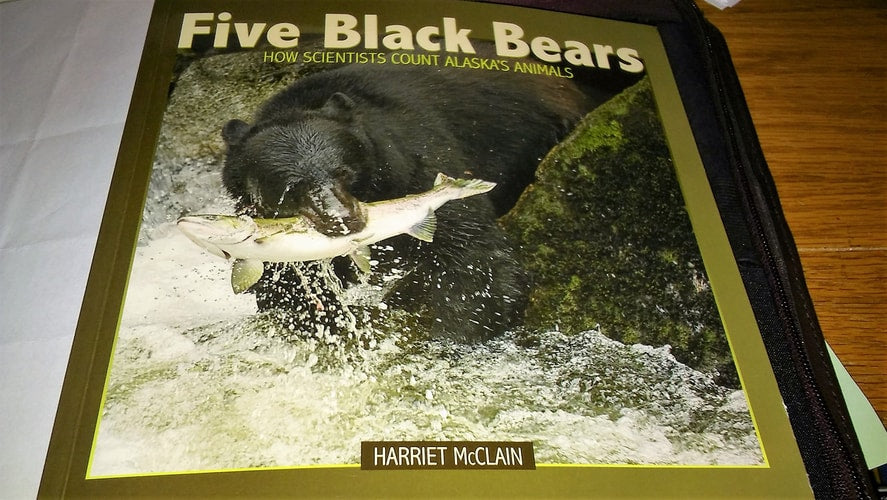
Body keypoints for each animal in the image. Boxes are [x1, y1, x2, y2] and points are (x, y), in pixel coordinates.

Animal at [221, 62, 607, 341]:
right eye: (292, 188)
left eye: (343, 172)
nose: (345, 220)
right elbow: (285, 285)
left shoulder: (418, 162)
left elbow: (472, 253)